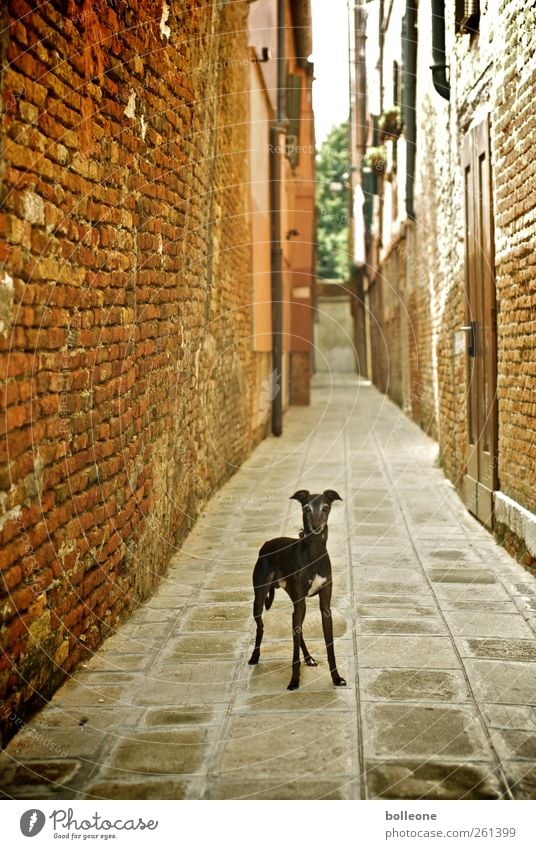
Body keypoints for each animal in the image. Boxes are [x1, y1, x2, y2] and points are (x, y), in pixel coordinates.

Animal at [248, 490, 348, 688]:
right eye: (306, 508)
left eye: (326, 507)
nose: (316, 527)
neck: (314, 553)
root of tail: (266, 544)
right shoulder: (300, 601)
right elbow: (294, 649)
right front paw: (294, 681)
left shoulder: (325, 608)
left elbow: (329, 646)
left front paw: (336, 677)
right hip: (260, 598)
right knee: (261, 627)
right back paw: (255, 656)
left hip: (297, 601)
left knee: (297, 627)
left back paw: (308, 658)